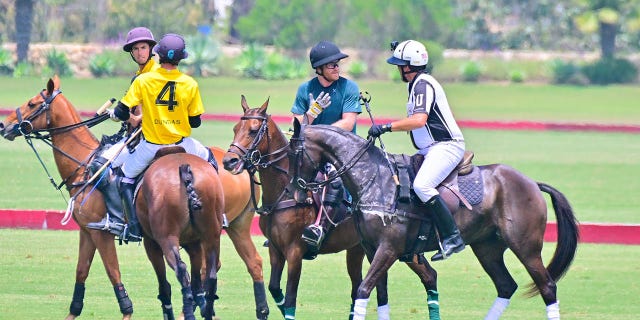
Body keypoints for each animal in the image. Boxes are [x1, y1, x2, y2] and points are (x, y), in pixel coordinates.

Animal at [0, 77, 268, 320]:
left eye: (32, 103)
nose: (4, 126)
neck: (84, 164)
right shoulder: (86, 231)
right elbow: (81, 271)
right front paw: (72, 313)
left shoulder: (101, 231)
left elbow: (113, 272)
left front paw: (127, 311)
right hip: (233, 226)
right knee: (245, 263)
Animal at [221, 96, 440, 318]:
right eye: (235, 128)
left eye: (253, 130)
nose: (229, 161)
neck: (283, 192)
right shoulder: (275, 248)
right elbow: (275, 288)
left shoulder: (295, 251)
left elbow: (291, 296)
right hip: (358, 248)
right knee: (359, 286)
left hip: (399, 247)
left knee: (428, 275)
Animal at [290, 120, 580, 320]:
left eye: (295, 153)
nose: (296, 191)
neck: (374, 180)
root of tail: (532, 183)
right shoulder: (373, 250)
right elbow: (379, 295)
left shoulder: (389, 249)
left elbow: (362, 290)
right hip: (487, 248)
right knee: (506, 285)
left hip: (525, 246)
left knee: (547, 287)